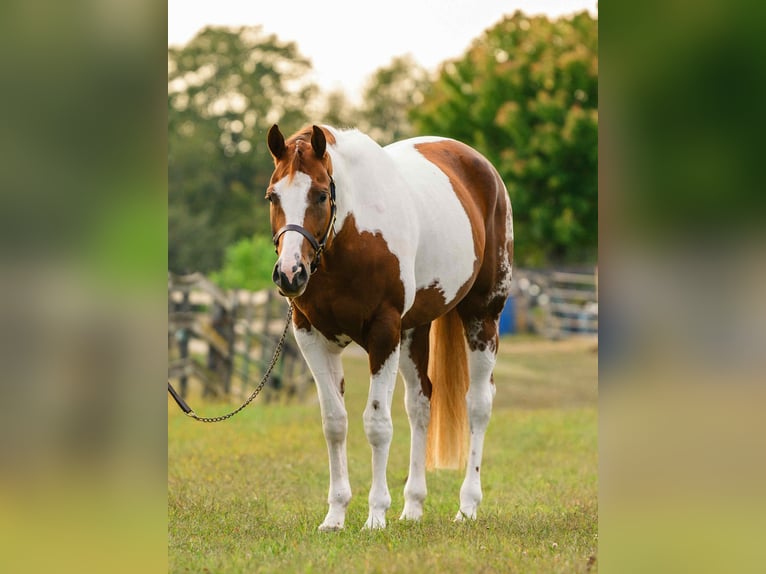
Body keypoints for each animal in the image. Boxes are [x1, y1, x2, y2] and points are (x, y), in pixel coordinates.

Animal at [266, 124, 513, 531]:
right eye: (273, 196)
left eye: (320, 194)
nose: (290, 274)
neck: (351, 238)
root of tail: (481, 166)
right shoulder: (311, 336)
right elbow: (335, 423)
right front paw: (335, 515)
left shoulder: (384, 333)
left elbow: (377, 423)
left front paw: (375, 514)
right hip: (414, 332)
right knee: (420, 404)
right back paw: (412, 506)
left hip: (482, 317)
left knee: (478, 404)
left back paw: (467, 506)